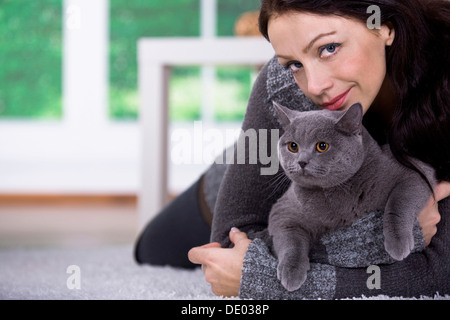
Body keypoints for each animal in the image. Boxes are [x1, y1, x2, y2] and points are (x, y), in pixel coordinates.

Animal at [268, 101, 436, 292]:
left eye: (322, 146)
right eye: (293, 146)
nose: (302, 162)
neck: (333, 192)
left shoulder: (414, 175)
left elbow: (398, 204)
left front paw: (398, 243)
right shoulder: (282, 211)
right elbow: (291, 240)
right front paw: (291, 273)